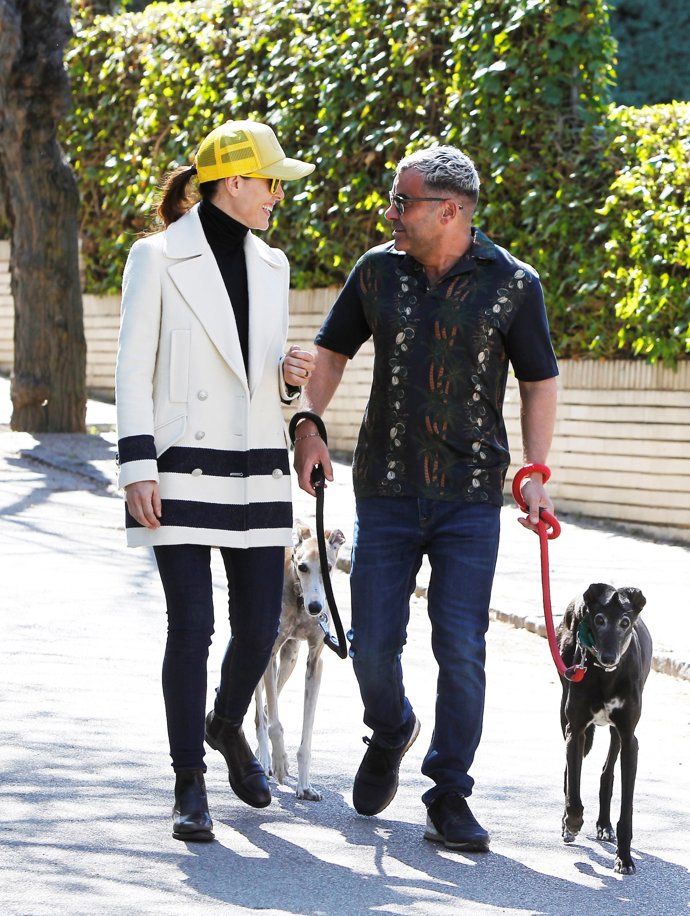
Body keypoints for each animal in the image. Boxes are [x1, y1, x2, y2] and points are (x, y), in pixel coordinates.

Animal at [254, 523, 345, 801]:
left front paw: (305, 785)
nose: (315, 608)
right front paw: (279, 762)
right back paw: (265, 760)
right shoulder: (269, 654)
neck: (298, 596)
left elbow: (307, 733)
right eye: (302, 567)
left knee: (266, 706)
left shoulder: (315, 663)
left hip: (290, 658)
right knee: (261, 713)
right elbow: (274, 723)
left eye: (328, 567)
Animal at [557, 582, 652, 874]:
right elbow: (573, 789)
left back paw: (604, 824)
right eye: (599, 620)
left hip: (616, 733)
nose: (608, 657)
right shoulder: (575, 730)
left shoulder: (630, 738)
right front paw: (572, 823)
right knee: (568, 774)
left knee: (607, 773)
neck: (606, 676)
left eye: (625, 622)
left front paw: (624, 857)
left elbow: (627, 809)